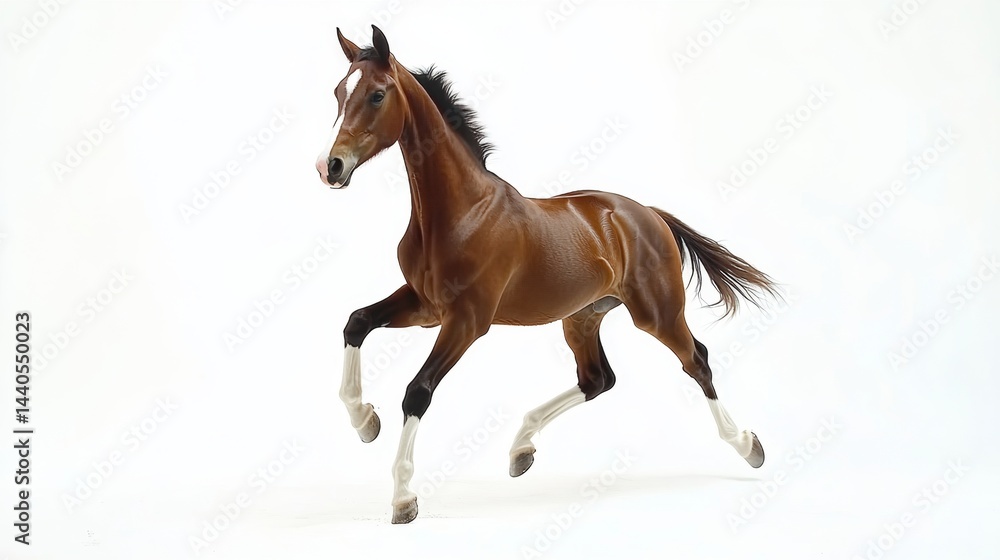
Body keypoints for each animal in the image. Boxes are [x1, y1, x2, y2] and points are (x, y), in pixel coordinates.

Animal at [316, 25, 779, 524]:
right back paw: (522, 448)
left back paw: (749, 446)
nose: (330, 166)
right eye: (338, 92)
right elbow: (357, 322)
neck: (461, 212)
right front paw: (365, 420)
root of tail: (647, 213)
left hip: (657, 313)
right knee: (598, 379)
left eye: (377, 94)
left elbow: (417, 391)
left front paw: (403, 497)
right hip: (582, 317)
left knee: (697, 361)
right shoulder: (424, 306)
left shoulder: (466, 320)